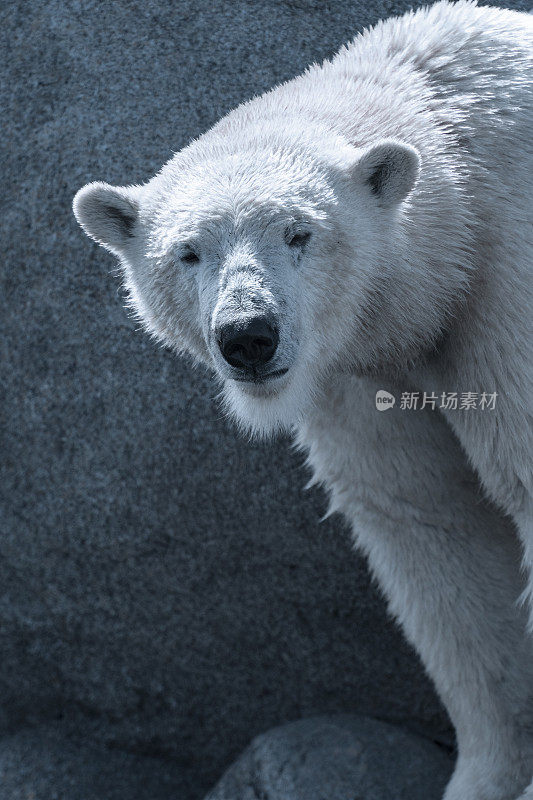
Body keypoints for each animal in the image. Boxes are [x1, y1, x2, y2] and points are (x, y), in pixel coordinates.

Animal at [74, 3, 532, 796]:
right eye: (189, 251)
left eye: (300, 232)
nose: (247, 335)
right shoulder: (357, 370)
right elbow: (429, 524)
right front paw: (482, 775)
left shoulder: (503, 284)